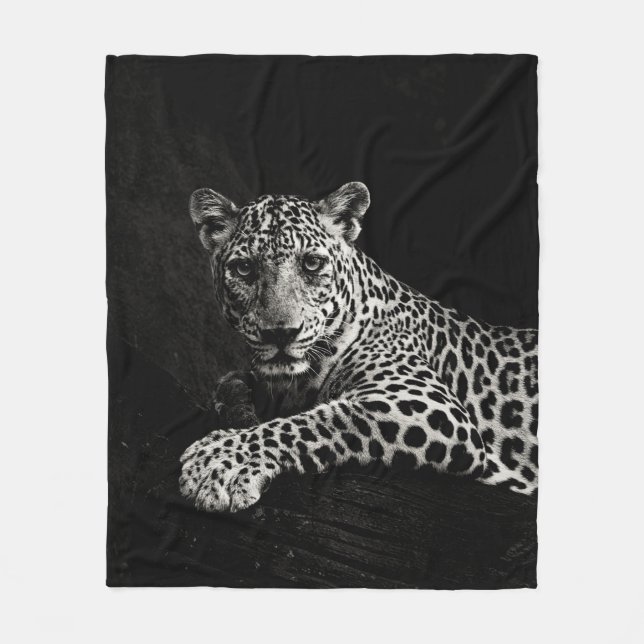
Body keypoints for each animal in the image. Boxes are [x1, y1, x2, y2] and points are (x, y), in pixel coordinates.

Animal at [179, 182, 538, 512]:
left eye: (312, 264)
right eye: (244, 268)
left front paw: (218, 461)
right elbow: (232, 385)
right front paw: (239, 411)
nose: (280, 334)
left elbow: (318, 421)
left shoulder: (431, 407)